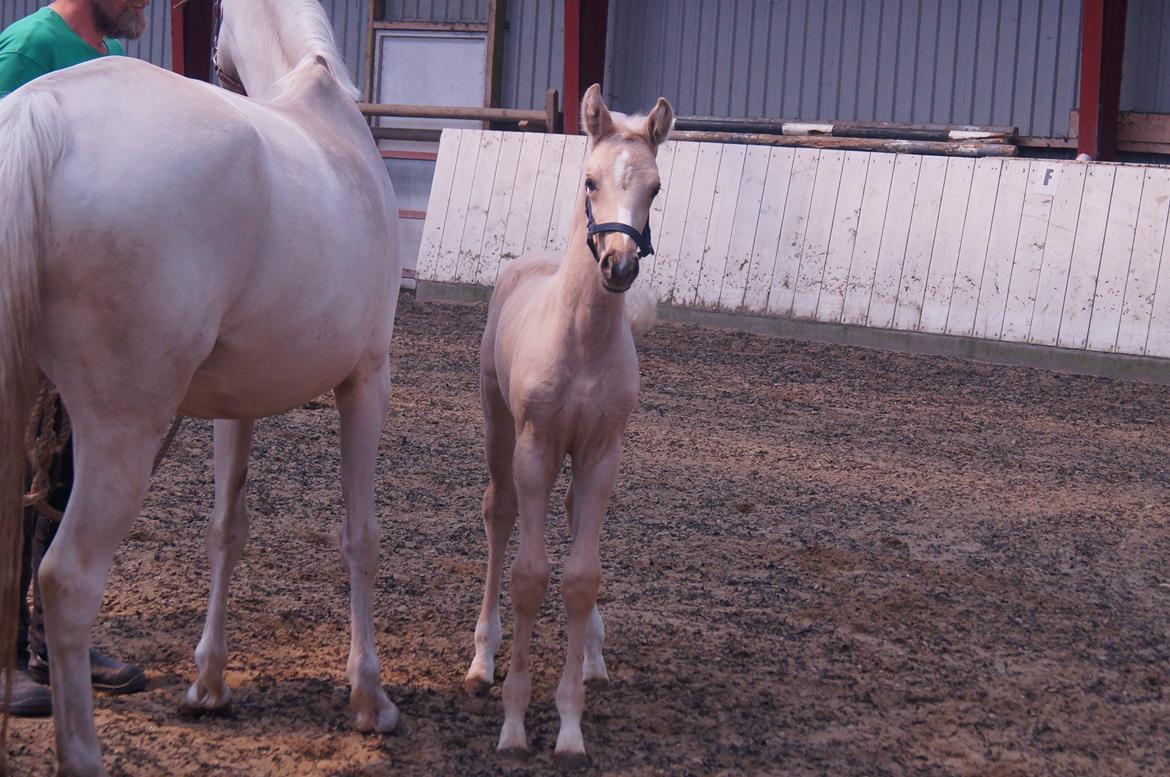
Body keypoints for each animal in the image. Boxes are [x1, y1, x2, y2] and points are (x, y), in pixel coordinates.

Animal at [1, 3, 402, 772]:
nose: (218, 68)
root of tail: (46, 112)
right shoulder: (366, 380)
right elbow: (361, 536)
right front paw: (370, 697)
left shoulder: (232, 408)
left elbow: (226, 529)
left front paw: (209, 684)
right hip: (122, 429)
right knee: (66, 579)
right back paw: (81, 752)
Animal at [460, 86, 673, 762]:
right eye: (589, 180)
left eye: (655, 187)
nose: (619, 266)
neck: (581, 338)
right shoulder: (536, 447)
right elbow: (530, 575)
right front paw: (514, 723)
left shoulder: (602, 451)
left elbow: (581, 575)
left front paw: (571, 724)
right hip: (500, 425)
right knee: (499, 514)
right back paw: (481, 660)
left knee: (577, 515)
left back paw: (593, 657)